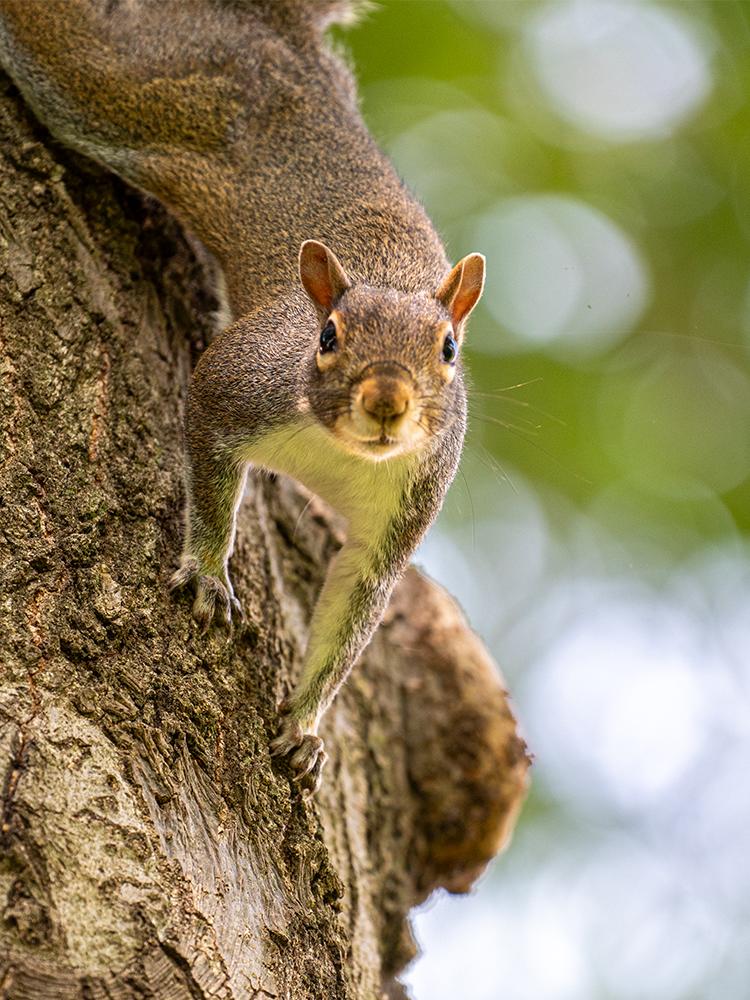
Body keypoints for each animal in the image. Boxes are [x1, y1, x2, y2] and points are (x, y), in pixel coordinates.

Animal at [0, 0, 485, 794]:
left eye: (448, 349)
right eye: (326, 335)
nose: (387, 402)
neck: (336, 451)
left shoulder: (403, 511)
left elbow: (352, 612)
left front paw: (305, 729)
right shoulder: (232, 387)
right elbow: (207, 464)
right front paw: (206, 571)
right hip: (124, 81)